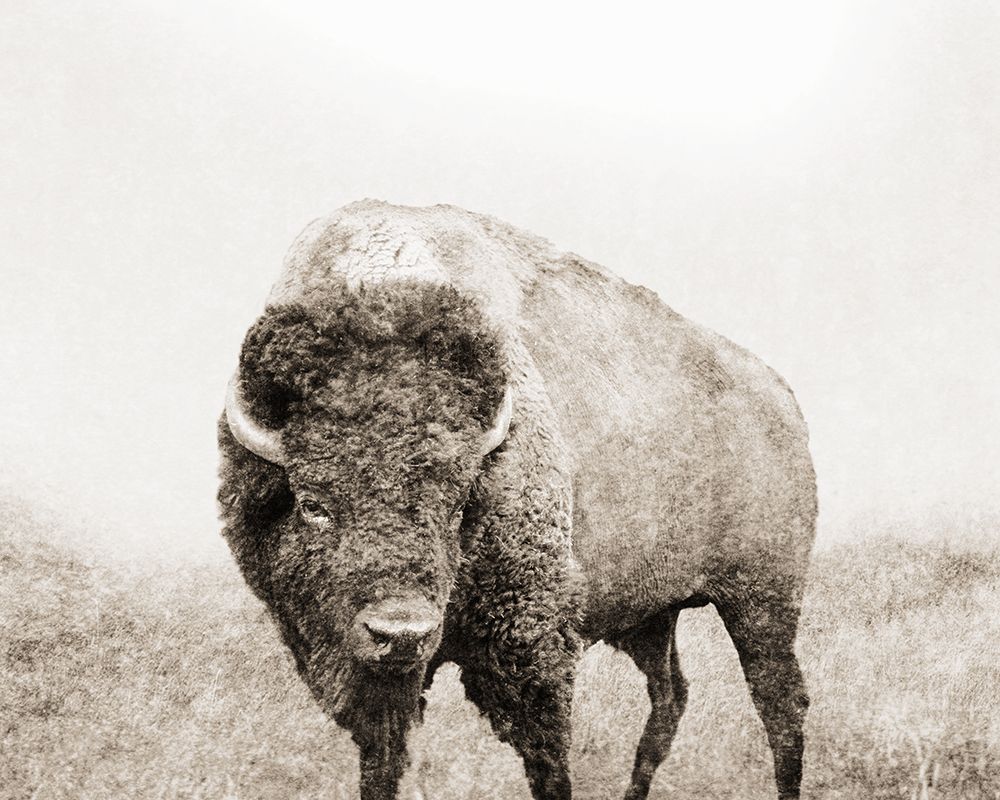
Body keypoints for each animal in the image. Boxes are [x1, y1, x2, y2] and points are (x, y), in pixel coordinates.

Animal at [217, 200, 817, 799]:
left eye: (459, 504)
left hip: (761, 599)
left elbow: (547, 761)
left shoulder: (531, 645)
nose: (401, 633)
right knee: (670, 696)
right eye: (313, 504)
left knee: (781, 704)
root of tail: (782, 397)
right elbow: (381, 762)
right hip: (654, 615)